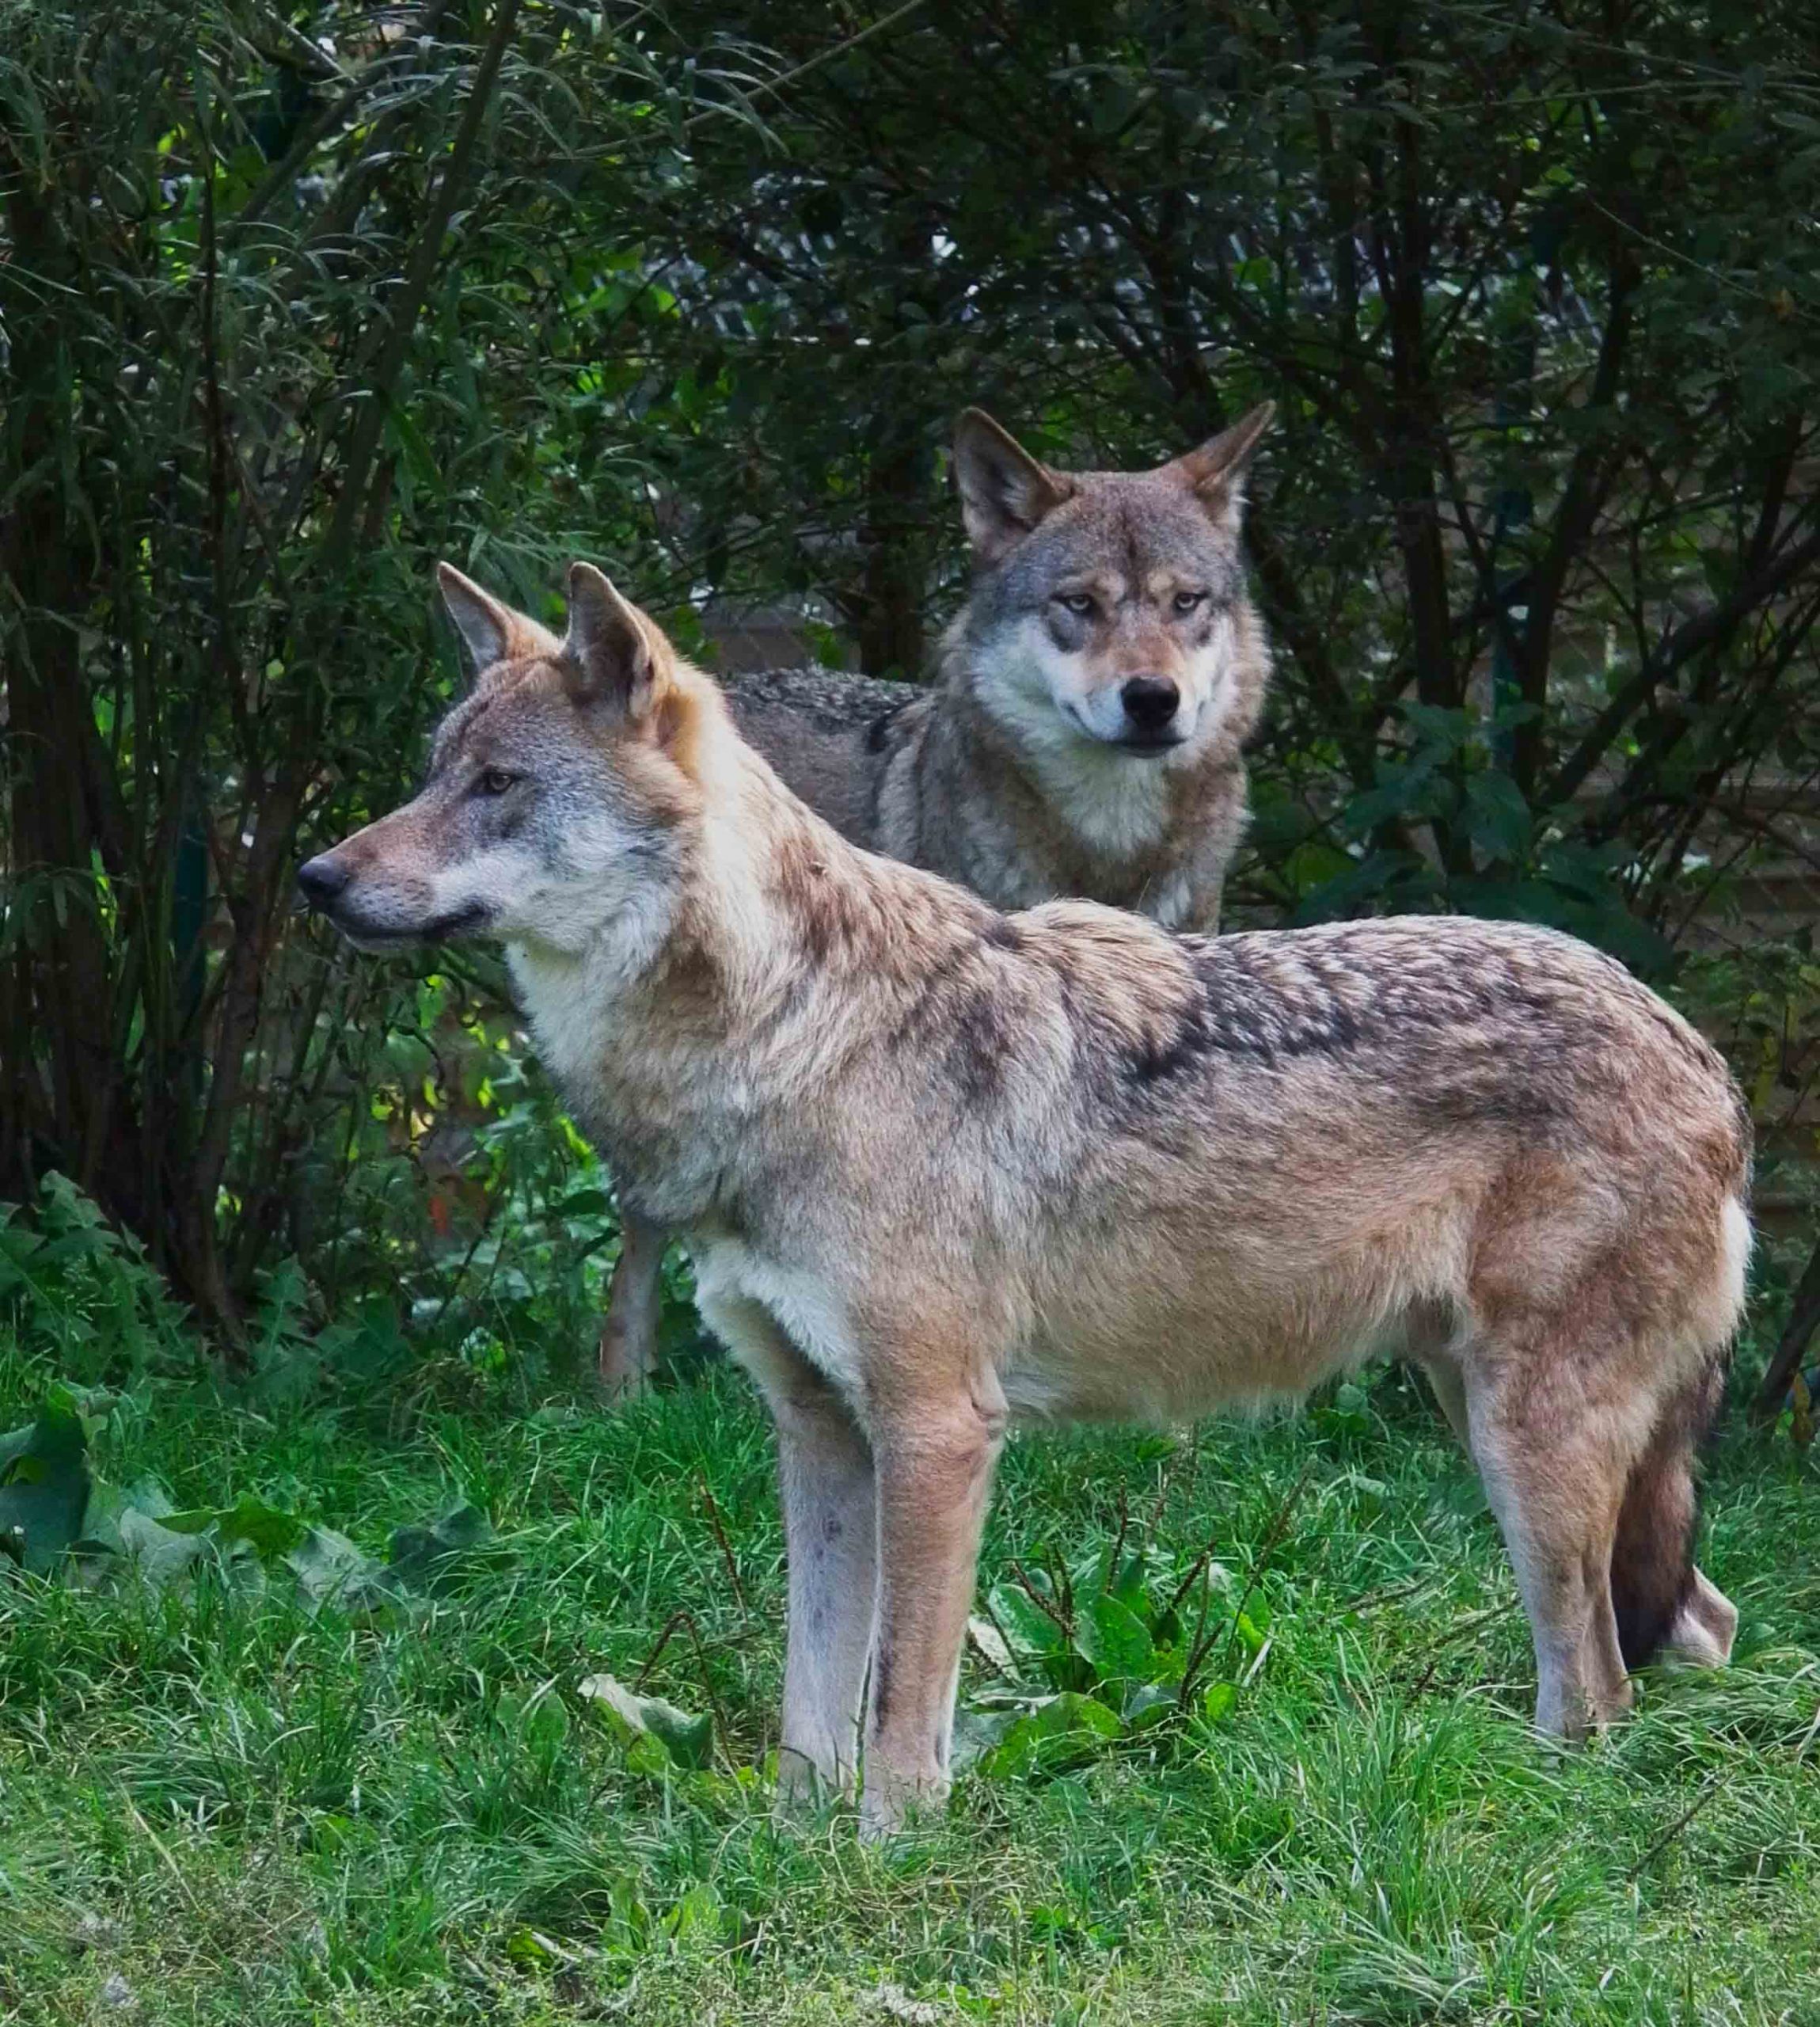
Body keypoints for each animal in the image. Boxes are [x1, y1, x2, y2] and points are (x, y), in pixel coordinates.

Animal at [300, 562, 1747, 1834]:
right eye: (431, 773)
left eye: (497, 787)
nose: (316, 879)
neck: (789, 1035)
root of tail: (1698, 1050)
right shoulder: (818, 1434)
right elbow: (809, 1703)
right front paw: (788, 1851)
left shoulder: (937, 1432)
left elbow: (901, 1710)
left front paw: (885, 1860)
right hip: (1484, 1422)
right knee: (1693, 1631)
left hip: (1522, 1444)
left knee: (1602, 1687)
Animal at [510, 403, 1274, 1389]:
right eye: (1080, 605)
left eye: (1186, 602)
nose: (1152, 698)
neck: (1104, 848)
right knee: (638, 1258)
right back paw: (623, 1398)